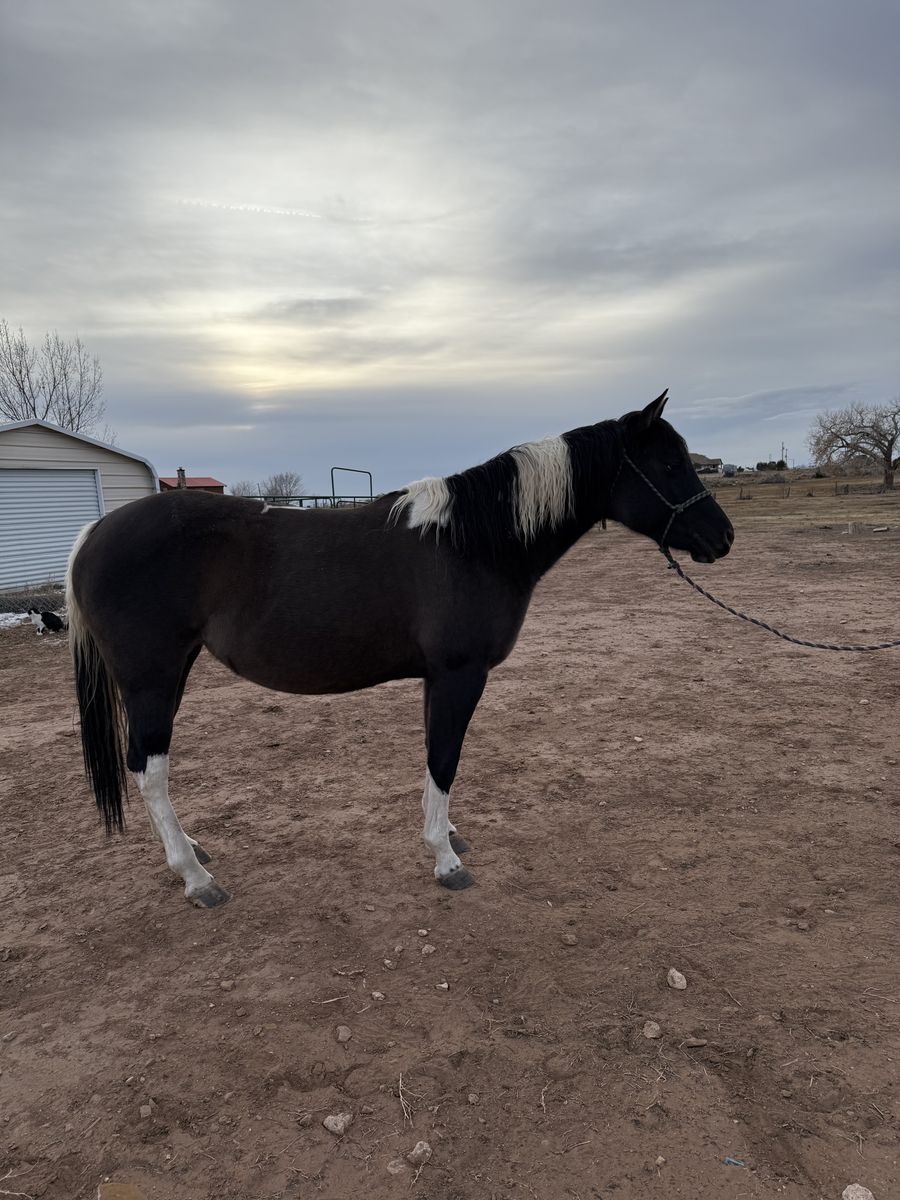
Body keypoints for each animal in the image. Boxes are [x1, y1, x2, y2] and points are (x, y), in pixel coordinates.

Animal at [66, 390, 734, 908]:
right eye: (669, 464)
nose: (723, 538)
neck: (473, 542)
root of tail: (95, 531)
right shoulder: (460, 674)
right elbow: (444, 760)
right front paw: (446, 861)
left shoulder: (438, 679)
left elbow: (436, 760)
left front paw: (449, 835)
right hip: (151, 678)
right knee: (150, 771)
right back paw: (196, 877)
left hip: (172, 672)